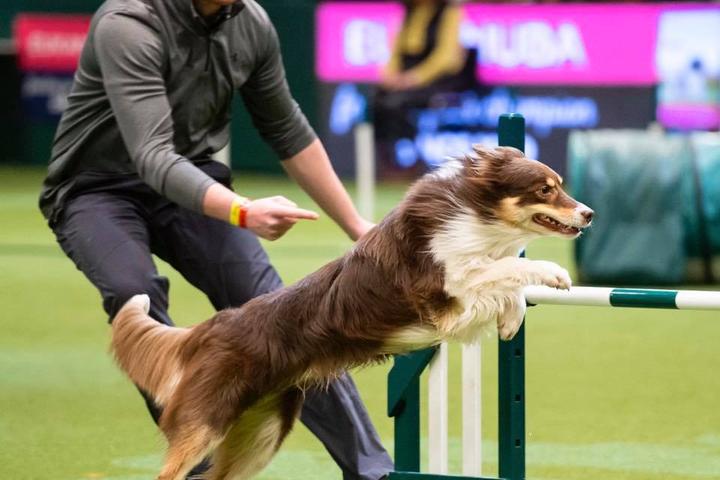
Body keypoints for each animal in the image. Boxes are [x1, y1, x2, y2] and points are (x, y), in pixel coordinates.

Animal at [112, 146, 592, 480]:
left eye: (559, 183)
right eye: (545, 188)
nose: (589, 213)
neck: (476, 216)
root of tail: (209, 328)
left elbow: (507, 278)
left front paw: (511, 320)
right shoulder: (446, 291)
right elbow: (507, 268)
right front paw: (554, 273)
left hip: (260, 432)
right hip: (207, 424)